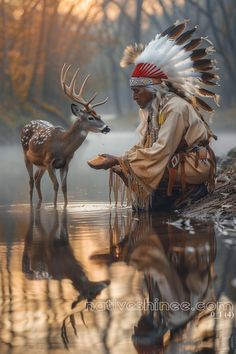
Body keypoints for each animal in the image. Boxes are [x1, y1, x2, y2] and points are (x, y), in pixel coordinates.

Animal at [20, 64, 110, 207]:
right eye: (90, 117)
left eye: (100, 116)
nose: (107, 128)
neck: (62, 147)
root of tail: (27, 124)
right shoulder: (49, 162)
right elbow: (56, 185)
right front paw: (55, 205)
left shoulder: (66, 163)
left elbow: (64, 186)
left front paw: (65, 206)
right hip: (27, 156)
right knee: (31, 181)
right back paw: (31, 203)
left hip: (40, 164)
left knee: (37, 178)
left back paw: (40, 201)